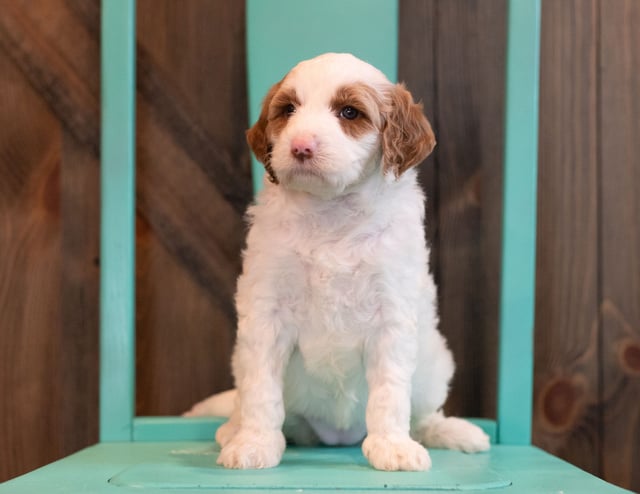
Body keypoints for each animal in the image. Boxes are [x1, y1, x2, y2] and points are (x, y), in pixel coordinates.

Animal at [188, 53, 488, 470]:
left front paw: (392, 446)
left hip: (434, 364)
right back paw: (234, 428)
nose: (300, 146)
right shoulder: (267, 310)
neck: (330, 211)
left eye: (349, 112)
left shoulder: (392, 311)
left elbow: (390, 391)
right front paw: (254, 443)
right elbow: (261, 387)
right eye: (289, 110)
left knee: (424, 414)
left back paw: (451, 432)